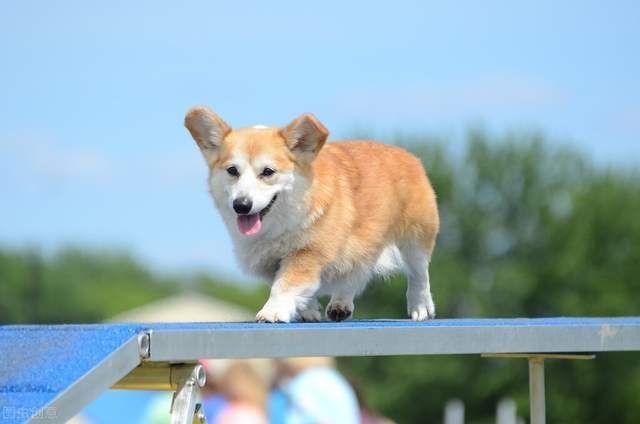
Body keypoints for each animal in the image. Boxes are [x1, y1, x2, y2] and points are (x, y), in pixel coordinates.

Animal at [182, 107, 438, 322]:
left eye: (268, 172)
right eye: (232, 171)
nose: (241, 205)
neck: (281, 223)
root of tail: (406, 154)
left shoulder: (308, 252)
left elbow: (285, 284)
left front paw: (272, 312)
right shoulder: (270, 262)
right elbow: (289, 284)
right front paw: (308, 310)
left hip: (416, 236)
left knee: (419, 273)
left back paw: (420, 307)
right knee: (357, 272)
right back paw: (340, 304)